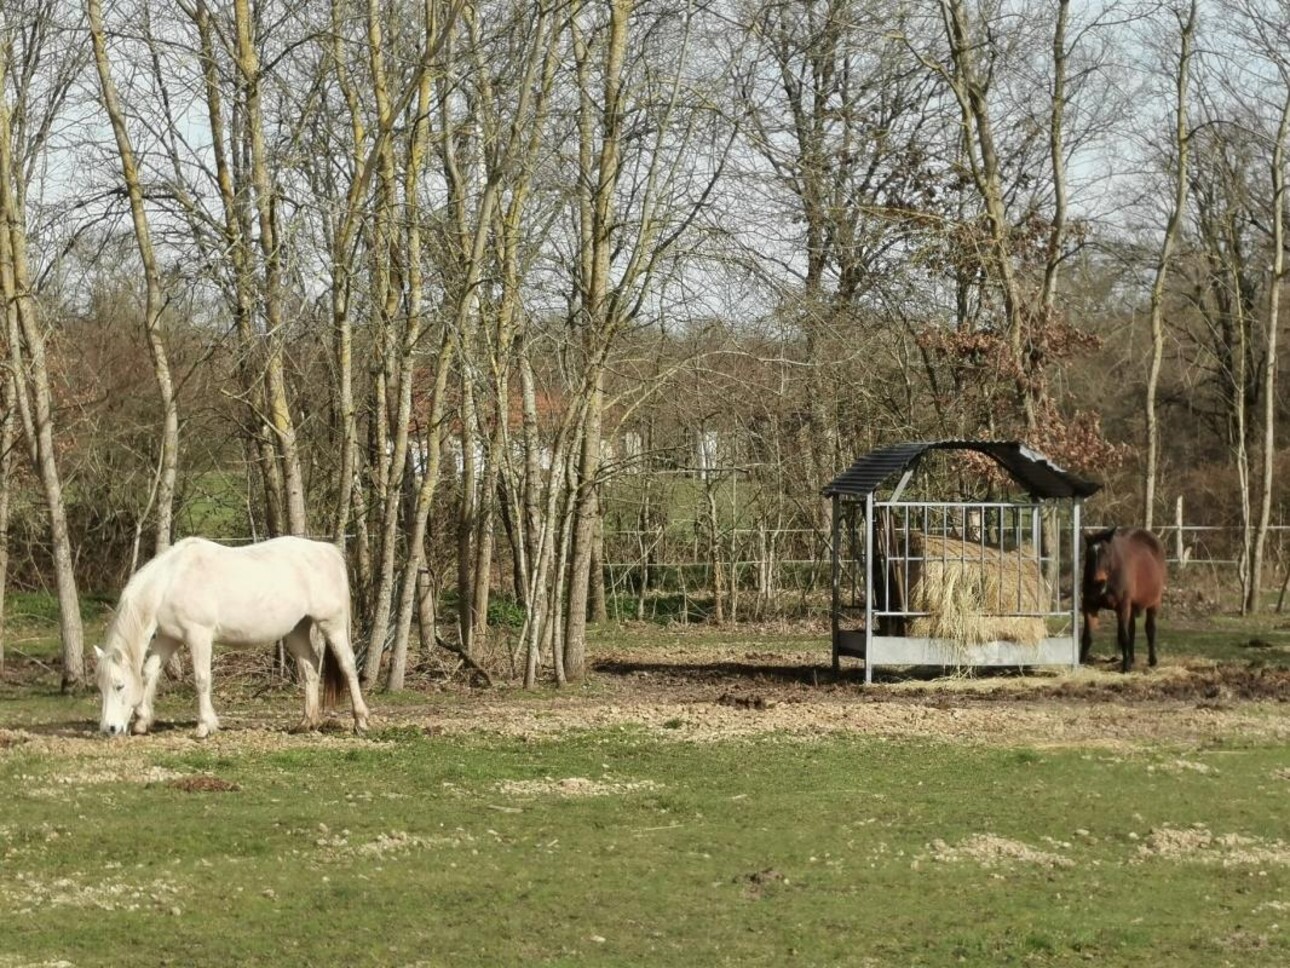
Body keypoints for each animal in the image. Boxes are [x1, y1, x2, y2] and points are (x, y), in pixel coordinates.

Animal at [94, 534, 368, 738]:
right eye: (101, 687)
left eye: (119, 686)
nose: (110, 729)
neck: (169, 582)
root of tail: (327, 550)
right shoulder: (169, 638)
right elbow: (148, 673)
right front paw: (142, 722)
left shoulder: (199, 637)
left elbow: (202, 679)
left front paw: (204, 726)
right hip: (297, 629)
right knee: (310, 668)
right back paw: (306, 723)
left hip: (331, 624)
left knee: (347, 664)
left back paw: (361, 721)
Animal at [1078, 531, 1171, 676]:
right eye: (1089, 553)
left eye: (1107, 552)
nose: (1098, 582)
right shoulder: (1089, 605)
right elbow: (1088, 636)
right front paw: (1081, 663)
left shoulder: (1122, 606)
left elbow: (1123, 636)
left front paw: (1126, 667)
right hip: (1131, 607)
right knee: (1132, 629)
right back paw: (1131, 658)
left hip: (1154, 602)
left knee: (1150, 628)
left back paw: (1152, 660)